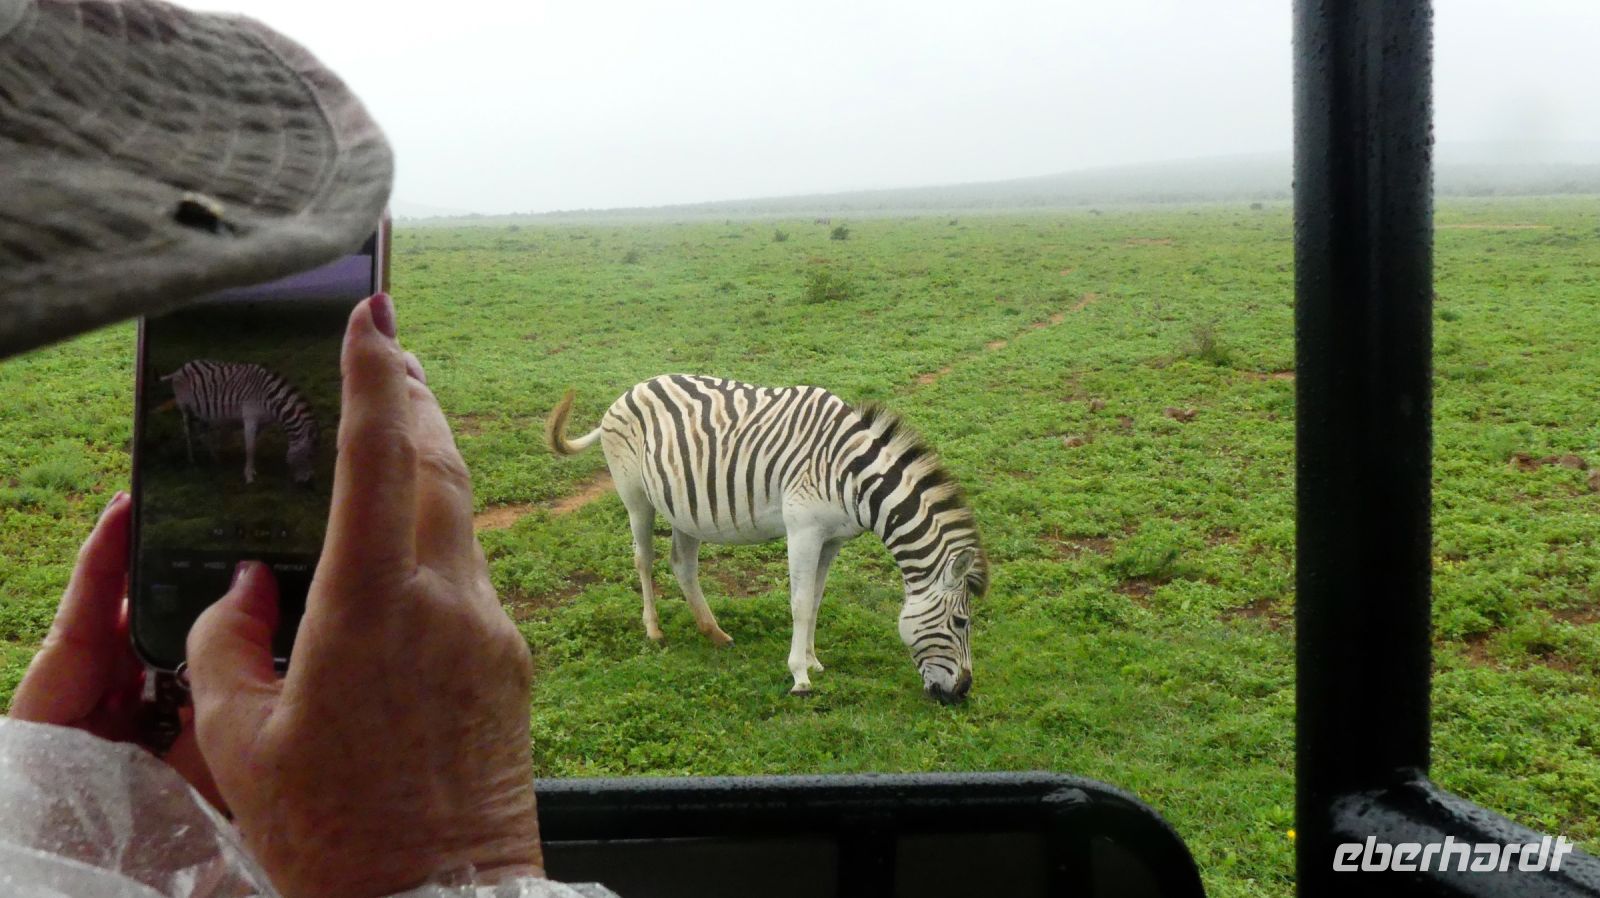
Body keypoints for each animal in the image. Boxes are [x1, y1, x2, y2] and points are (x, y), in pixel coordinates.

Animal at [160, 360, 319, 486]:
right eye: (309, 455)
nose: (308, 482)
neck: (269, 400)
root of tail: (181, 368)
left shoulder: (262, 423)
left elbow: (253, 445)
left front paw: (251, 469)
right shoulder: (249, 419)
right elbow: (250, 447)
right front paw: (249, 476)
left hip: (201, 412)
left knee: (202, 433)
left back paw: (215, 458)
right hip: (184, 406)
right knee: (187, 430)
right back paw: (191, 460)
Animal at [545, 374, 987, 703]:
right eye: (961, 621)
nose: (963, 691)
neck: (853, 477)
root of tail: (629, 391)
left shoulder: (832, 540)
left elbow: (817, 600)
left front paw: (813, 660)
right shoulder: (803, 531)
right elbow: (800, 603)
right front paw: (800, 676)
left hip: (682, 506)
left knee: (682, 564)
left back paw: (714, 632)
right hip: (635, 495)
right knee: (643, 558)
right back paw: (654, 631)